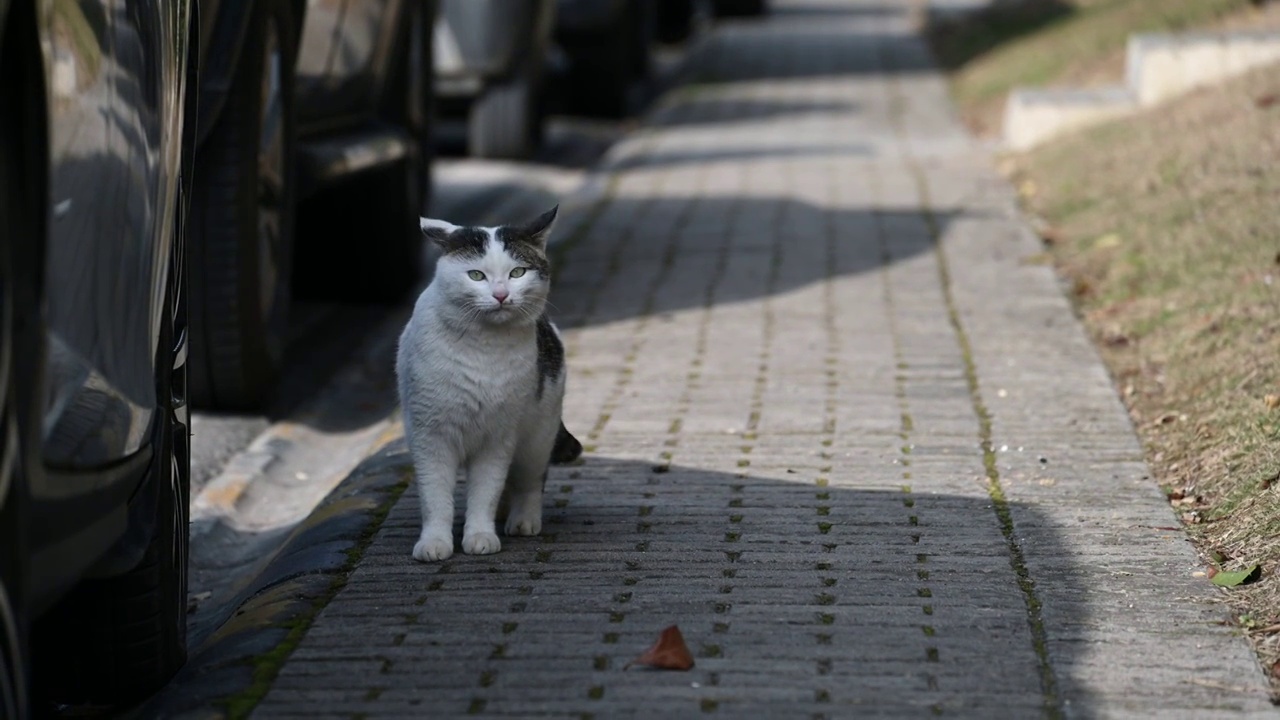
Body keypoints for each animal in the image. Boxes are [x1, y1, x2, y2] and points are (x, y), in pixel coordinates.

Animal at [394, 203, 586, 561]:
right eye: (476, 276)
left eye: (517, 273)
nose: (500, 295)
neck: (483, 350)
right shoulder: (430, 438)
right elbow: (436, 498)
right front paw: (435, 543)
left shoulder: (497, 439)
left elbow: (485, 492)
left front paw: (481, 536)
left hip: (537, 438)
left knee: (529, 482)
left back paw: (522, 520)